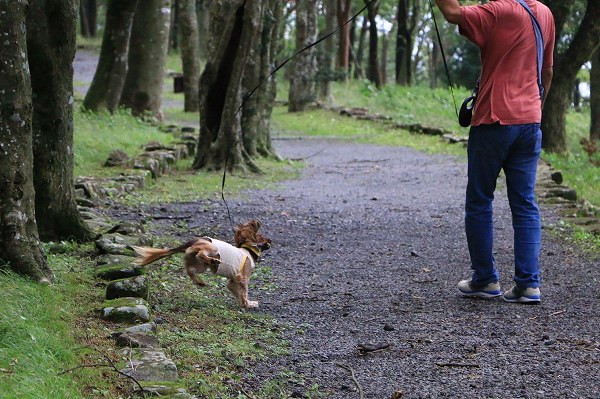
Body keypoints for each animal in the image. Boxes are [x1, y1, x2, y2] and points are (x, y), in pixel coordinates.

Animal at [134, 222, 272, 310]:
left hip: (200, 265)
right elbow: (244, 292)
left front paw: (245, 304)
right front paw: (248, 304)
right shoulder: (242, 278)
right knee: (201, 254)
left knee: (189, 269)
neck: (249, 251)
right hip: (211, 248)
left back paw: (199, 281)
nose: (271, 240)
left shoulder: (233, 282)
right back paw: (213, 261)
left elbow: (237, 293)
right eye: (262, 237)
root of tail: (192, 242)